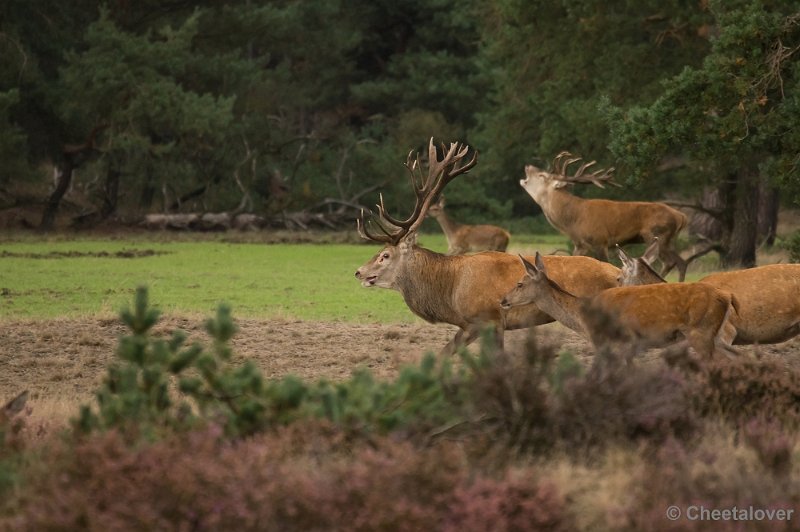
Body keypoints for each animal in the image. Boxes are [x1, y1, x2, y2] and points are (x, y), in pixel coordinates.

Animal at [354, 138, 620, 354]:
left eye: (385, 255)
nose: (358, 271)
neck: (450, 292)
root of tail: (618, 273)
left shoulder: (490, 319)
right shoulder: (469, 325)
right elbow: (443, 354)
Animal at [504, 252, 740, 360]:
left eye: (519, 283)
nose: (503, 300)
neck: (582, 319)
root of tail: (727, 296)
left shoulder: (605, 342)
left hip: (701, 332)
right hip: (715, 336)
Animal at [524, 151, 688, 280]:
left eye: (542, 175)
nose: (528, 166)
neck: (573, 221)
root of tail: (681, 217)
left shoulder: (600, 241)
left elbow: (606, 264)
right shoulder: (580, 244)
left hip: (656, 234)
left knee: (669, 262)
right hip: (669, 240)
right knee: (681, 262)